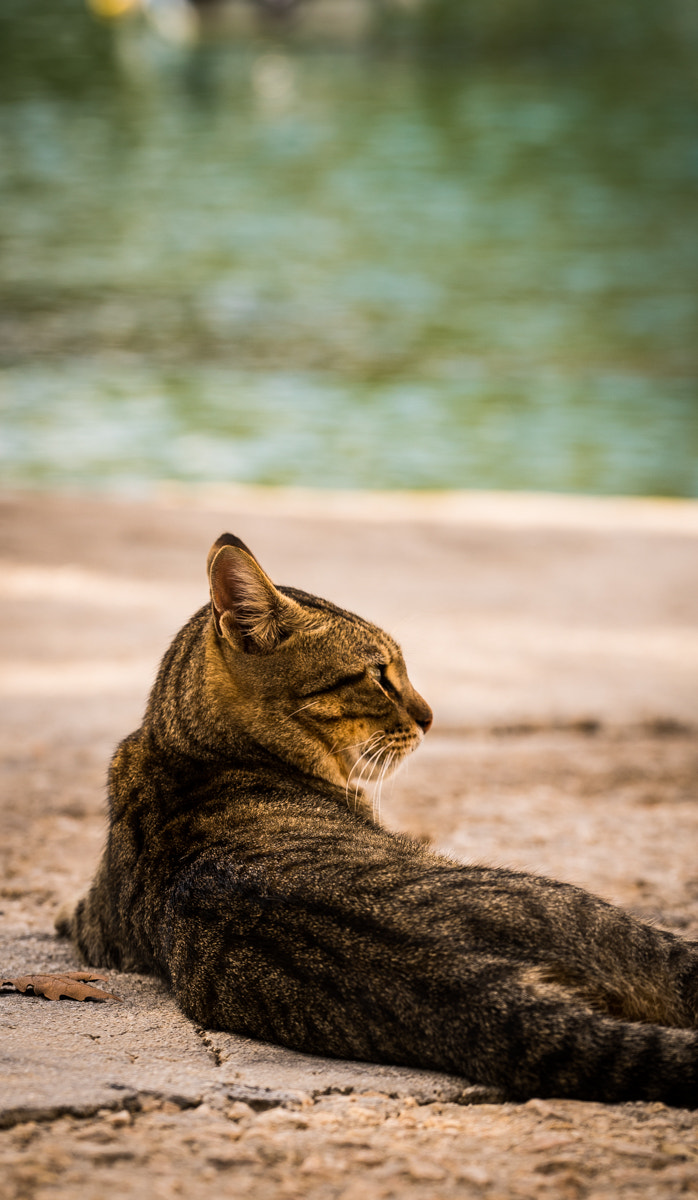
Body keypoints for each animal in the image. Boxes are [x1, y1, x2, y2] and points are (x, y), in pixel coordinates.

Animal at [58, 535, 698, 1104]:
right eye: (378, 675)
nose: (432, 716)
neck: (185, 750)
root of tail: (456, 973)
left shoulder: (95, 929)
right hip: (588, 911)